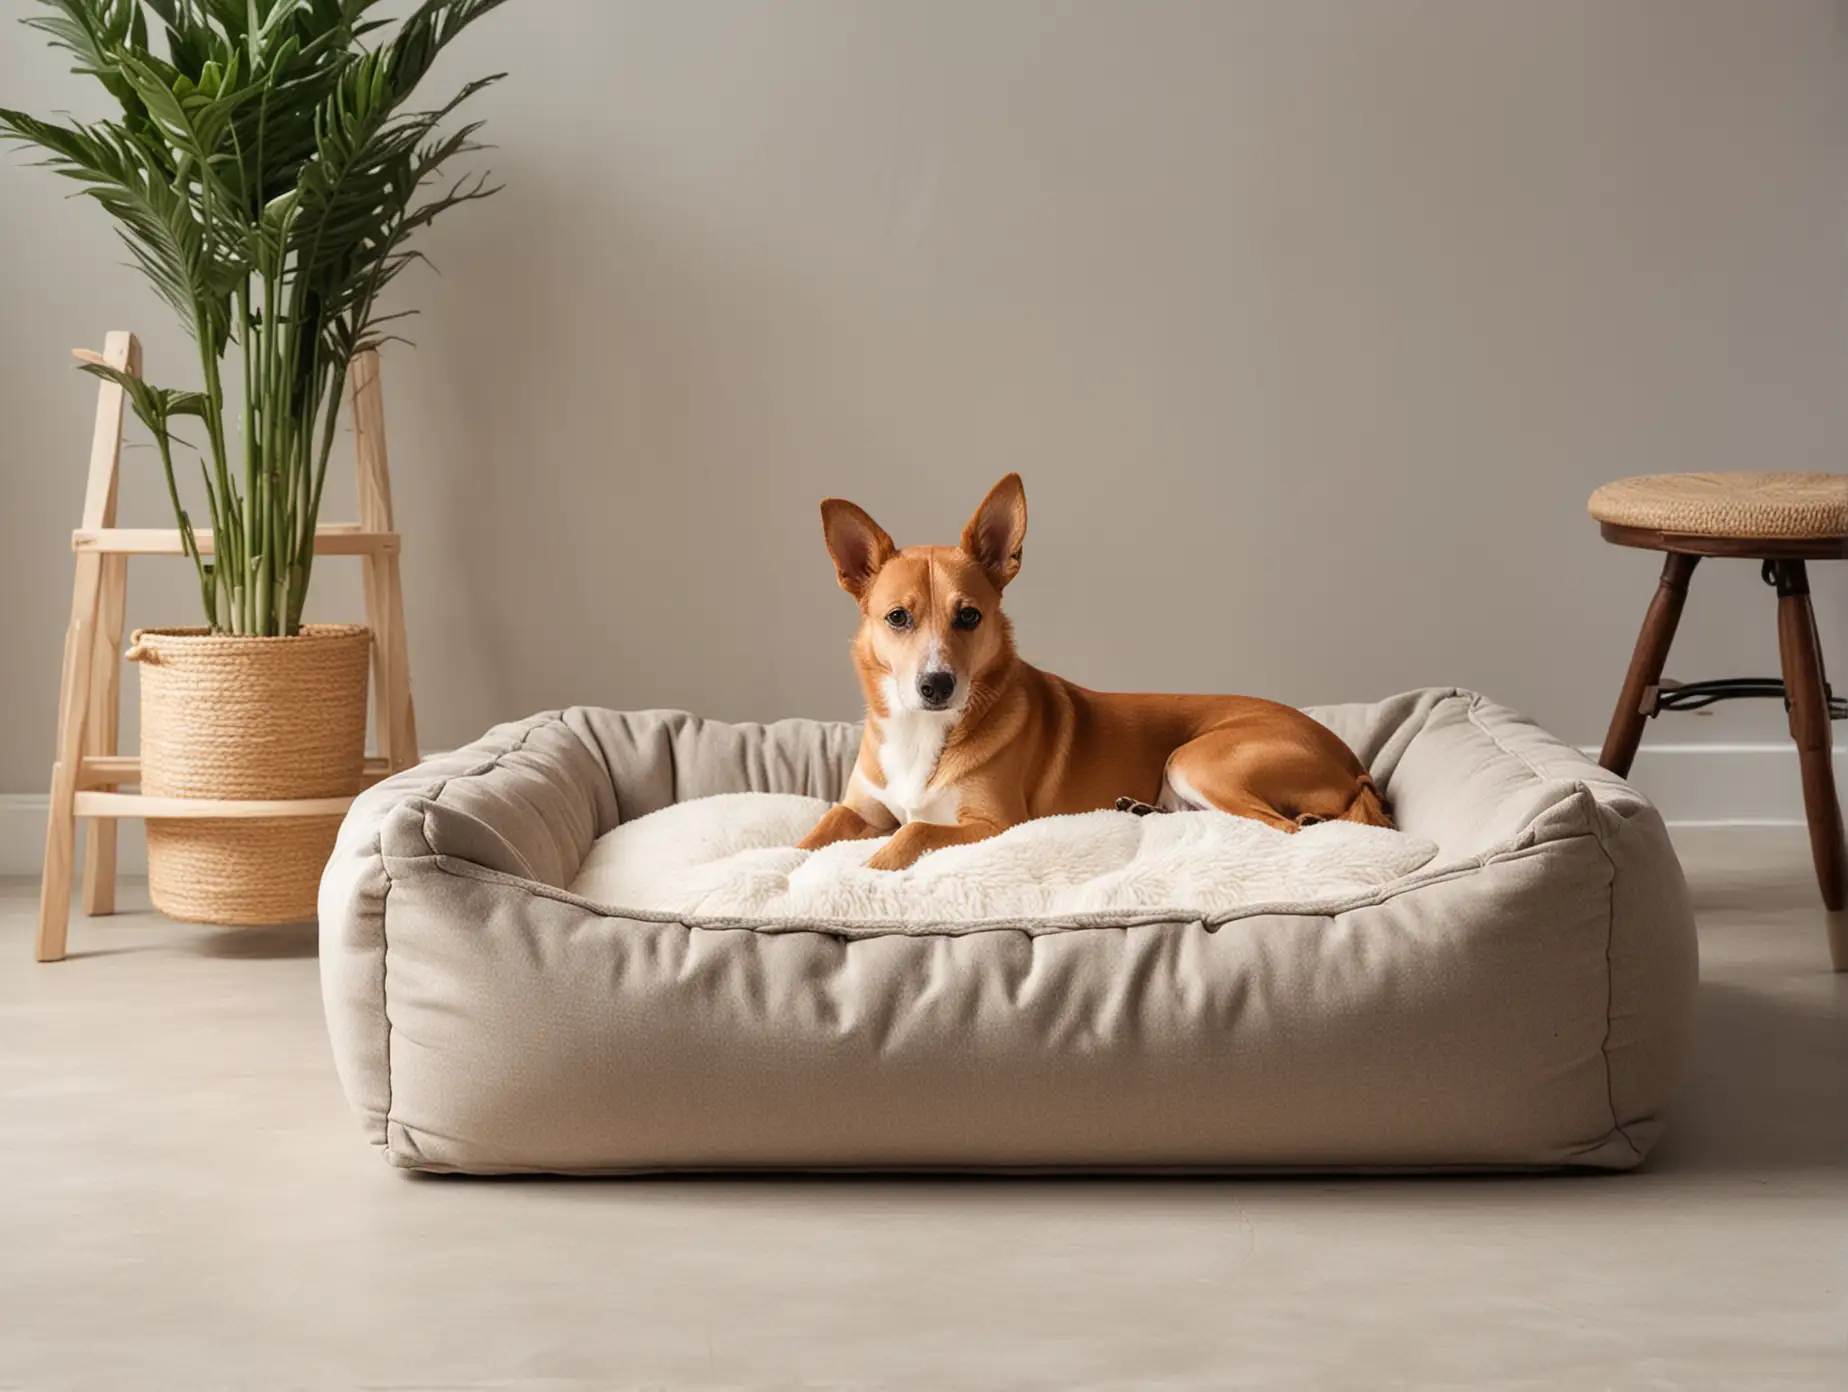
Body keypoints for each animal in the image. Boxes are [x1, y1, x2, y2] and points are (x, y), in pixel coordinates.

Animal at [794, 476, 1389, 868]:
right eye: (897, 617)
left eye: (969, 616)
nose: (936, 685)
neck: (924, 731)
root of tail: (1351, 761)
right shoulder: (862, 810)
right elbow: (820, 828)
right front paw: (784, 866)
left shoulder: (992, 824)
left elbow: (912, 831)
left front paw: (869, 871)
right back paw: (1140, 810)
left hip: (1198, 760)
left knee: (1276, 828)